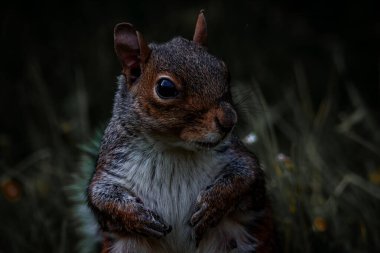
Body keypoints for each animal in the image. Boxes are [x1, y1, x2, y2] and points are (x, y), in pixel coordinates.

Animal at [86, 10, 276, 253]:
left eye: (225, 71)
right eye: (165, 88)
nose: (229, 120)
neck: (173, 149)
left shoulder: (237, 156)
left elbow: (247, 175)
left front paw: (212, 204)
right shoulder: (112, 166)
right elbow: (100, 197)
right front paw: (137, 217)